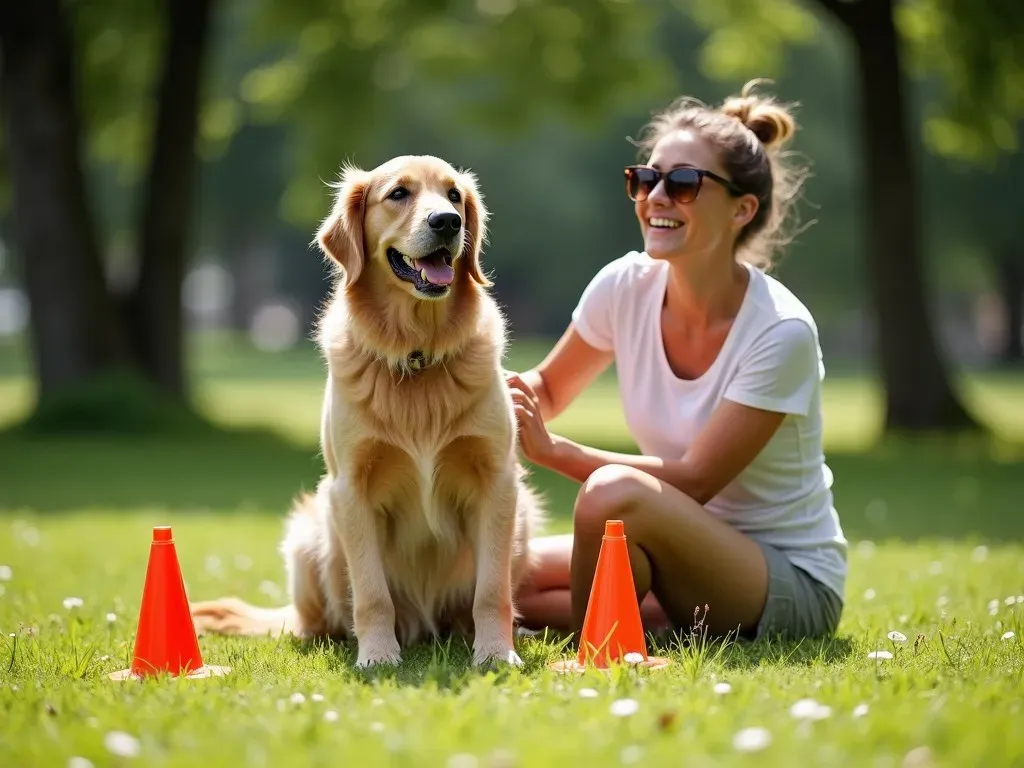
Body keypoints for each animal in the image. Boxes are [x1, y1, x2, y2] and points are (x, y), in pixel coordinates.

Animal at [190, 154, 544, 667]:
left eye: (454, 195)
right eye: (398, 193)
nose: (448, 222)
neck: (417, 354)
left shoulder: (497, 481)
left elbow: (492, 590)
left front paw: (497, 653)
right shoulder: (350, 488)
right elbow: (372, 592)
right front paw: (377, 656)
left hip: (525, 519)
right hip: (308, 532)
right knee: (316, 622)